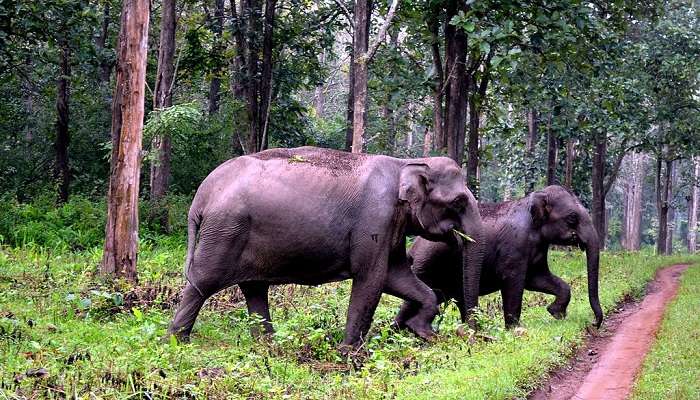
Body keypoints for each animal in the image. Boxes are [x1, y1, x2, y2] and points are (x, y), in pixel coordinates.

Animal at [170, 147, 486, 346]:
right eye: (458, 201)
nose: (469, 333)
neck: (407, 162)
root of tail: (201, 195)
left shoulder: (390, 228)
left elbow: (397, 277)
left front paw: (422, 331)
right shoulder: (374, 219)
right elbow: (371, 280)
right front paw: (350, 354)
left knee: (254, 289)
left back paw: (268, 347)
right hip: (225, 231)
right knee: (202, 283)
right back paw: (176, 342)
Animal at [396, 184, 604, 328]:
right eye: (572, 218)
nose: (593, 323)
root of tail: (413, 248)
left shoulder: (538, 248)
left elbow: (537, 279)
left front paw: (556, 313)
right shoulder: (514, 246)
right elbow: (514, 282)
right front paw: (514, 329)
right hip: (428, 265)